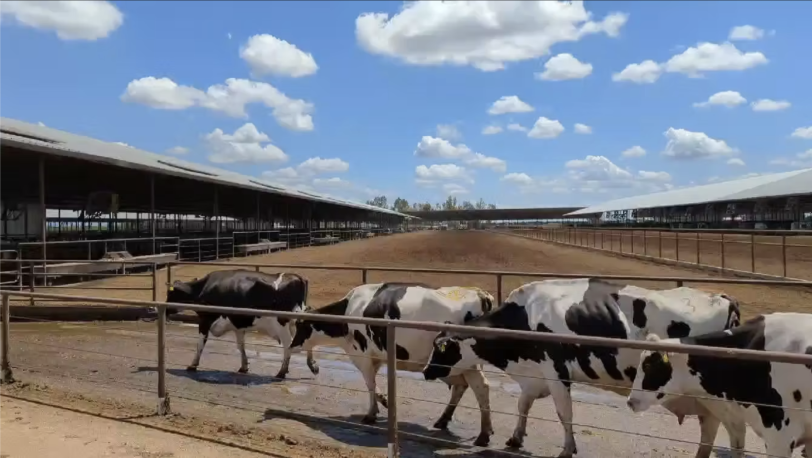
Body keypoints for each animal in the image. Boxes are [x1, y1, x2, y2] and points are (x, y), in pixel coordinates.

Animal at [167, 268, 318, 380]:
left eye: (171, 295)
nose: (165, 310)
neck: (203, 289)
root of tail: (296, 277)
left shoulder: (205, 320)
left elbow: (200, 344)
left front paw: (192, 365)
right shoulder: (237, 325)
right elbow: (241, 346)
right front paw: (244, 366)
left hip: (282, 324)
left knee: (288, 345)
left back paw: (282, 372)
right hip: (297, 323)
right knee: (304, 341)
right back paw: (312, 366)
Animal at [288, 280, 498, 446]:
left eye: (300, 325)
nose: (291, 345)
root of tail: (479, 293)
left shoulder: (363, 354)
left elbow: (370, 384)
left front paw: (373, 412)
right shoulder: (377, 356)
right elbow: (373, 385)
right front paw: (381, 405)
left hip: (465, 362)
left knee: (481, 387)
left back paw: (484, 434)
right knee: (461, 386)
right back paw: (443, 420)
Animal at [426, 278, 744, 456]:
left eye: (441, 347)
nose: (427, 371)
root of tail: (721, 296)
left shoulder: (556, 371)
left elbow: (564, 412)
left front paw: (568, 449)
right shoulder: (535, 375)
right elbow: (523, 405)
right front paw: (516, 437)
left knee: (726, 428)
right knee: (713, 427)